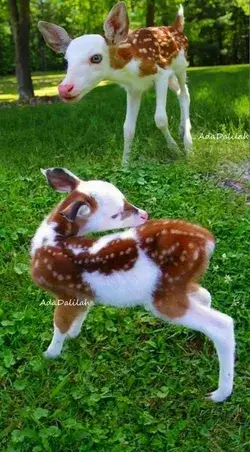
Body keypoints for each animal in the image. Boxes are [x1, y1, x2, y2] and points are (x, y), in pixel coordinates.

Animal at [31, 168, 234, 400]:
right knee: (205, 296)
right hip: (176, 284)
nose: (145, 214)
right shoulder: (82, 295)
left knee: (223, 324)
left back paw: (219, 394)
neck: (51, 241)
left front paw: (50, 354)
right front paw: (74, 335)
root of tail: (207, 241)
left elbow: (59, 325)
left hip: (163, 298)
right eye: (116, 213)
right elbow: (79, 316)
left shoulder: (65, 292)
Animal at [38, 2, 191, 166]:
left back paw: (188, 144)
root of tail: (176, 27)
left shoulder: (161, 74)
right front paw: (124, 164)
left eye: (96, 57)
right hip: (172, 77)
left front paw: (175, 150)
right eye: (67, 60)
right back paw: (182, 130)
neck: (131, 68)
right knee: (179, 92)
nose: (64, 89)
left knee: (184, 94)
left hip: (181, 66)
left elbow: (160, 119)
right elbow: (128, 128)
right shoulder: (133, 88)